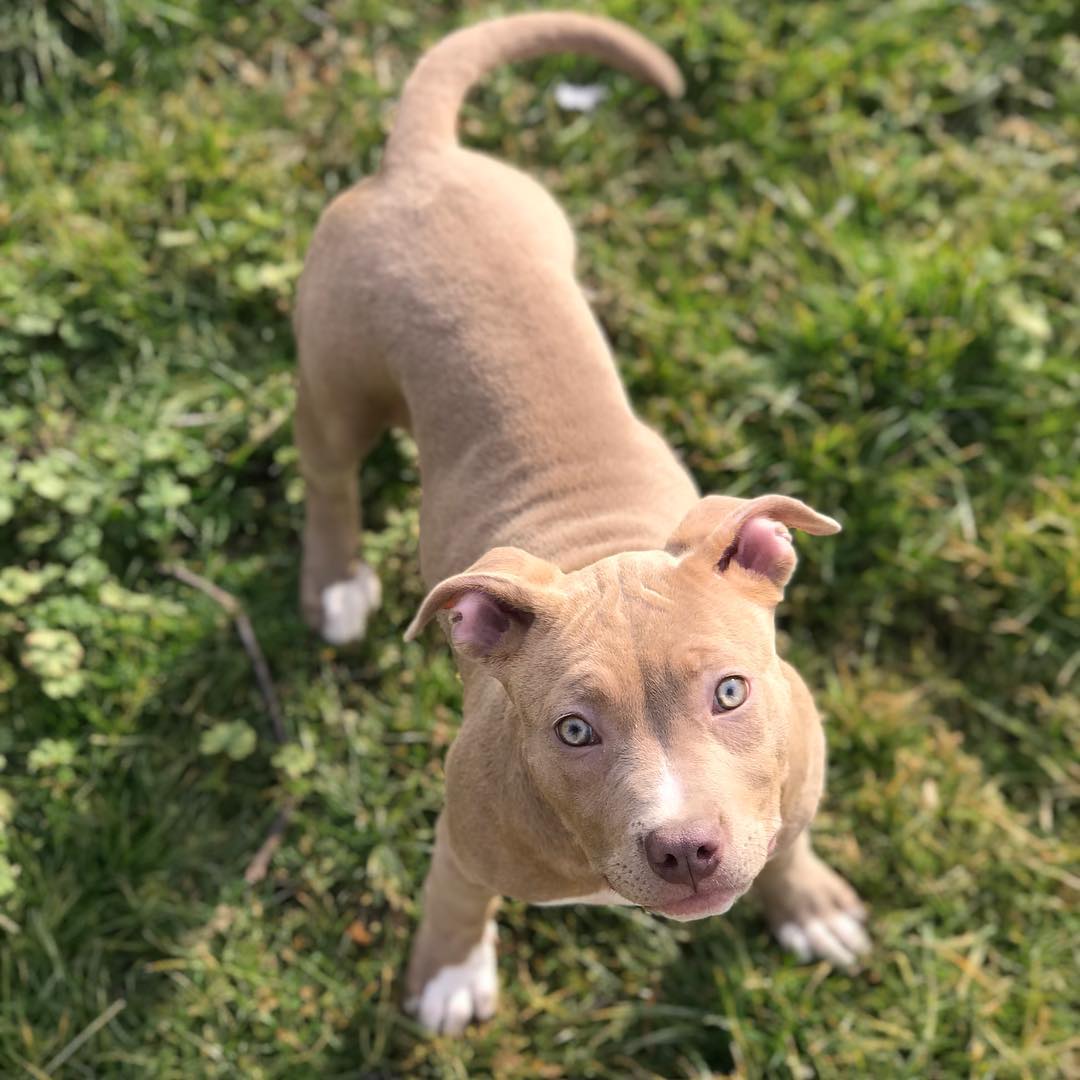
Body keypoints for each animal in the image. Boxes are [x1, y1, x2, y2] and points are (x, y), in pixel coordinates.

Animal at [293, 10, 868, 1036]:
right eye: (573, 731)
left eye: (731, 692)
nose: (685, 849)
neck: (600, 544)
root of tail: (419, 160)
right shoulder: (463, 836)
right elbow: (452, 899)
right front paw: (448, 974)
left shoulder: (797, 778)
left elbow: (791, 840)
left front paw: (809, 905)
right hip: (335, 377)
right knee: (329, 477)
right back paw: (336, 584)